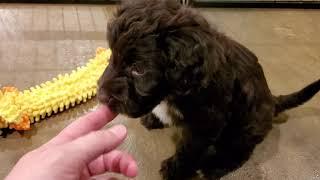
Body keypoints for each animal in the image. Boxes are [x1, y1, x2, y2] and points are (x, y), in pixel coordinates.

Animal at [98, 0, 320, 179]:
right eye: (112, 55)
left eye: (139, 69)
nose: (101, 96)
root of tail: (273, 101)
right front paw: (154, 118)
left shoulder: (207, 121)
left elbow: (188, 149)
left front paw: (175, 169)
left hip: (245, 126)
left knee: (240, 149)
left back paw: (217, 166)